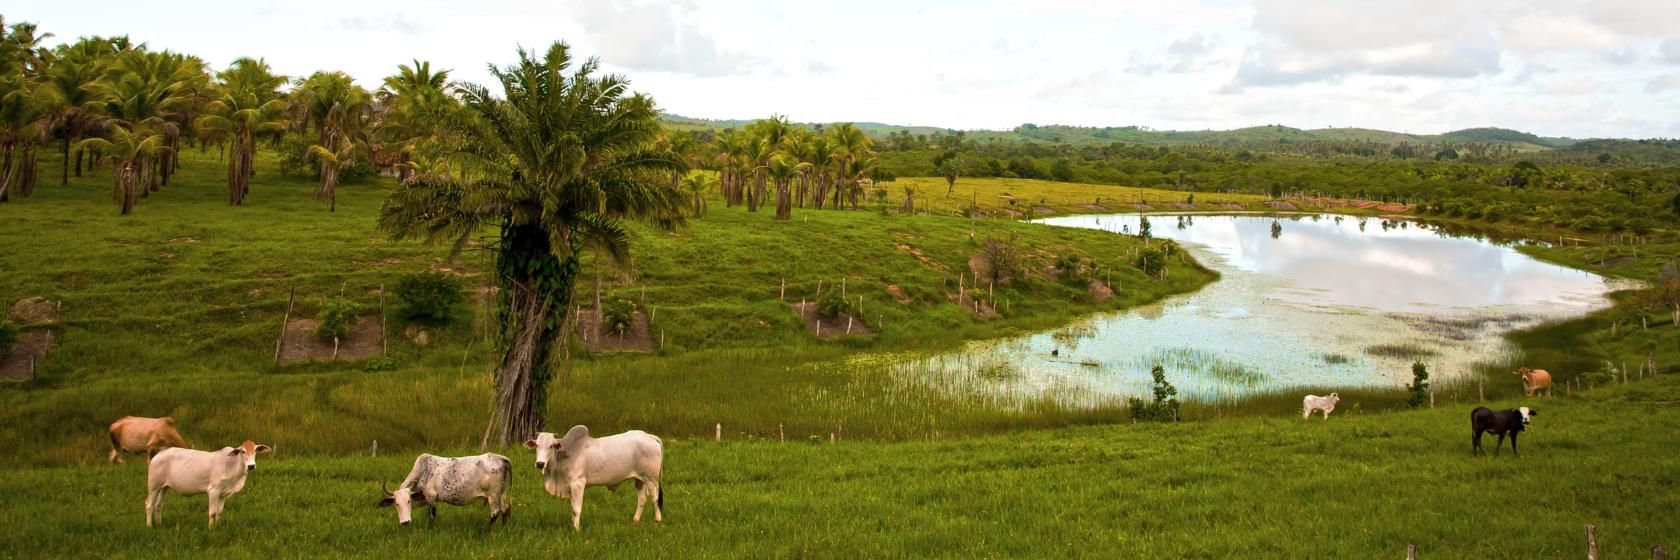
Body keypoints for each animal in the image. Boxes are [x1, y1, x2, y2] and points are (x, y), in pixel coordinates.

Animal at [381, 450, 510, 524]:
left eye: (409, 501)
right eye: (396, 504)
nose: (405, 522)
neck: (421, 472)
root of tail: (501, 458)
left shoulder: (431, 497)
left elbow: (432, 515)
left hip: (493, 496)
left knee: (495, 513)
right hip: (501, 494)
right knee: (505, 509)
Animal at [524, 425, 661, 531]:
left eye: (551, 445)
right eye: (536, 445)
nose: (540, 463)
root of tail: (651, 437)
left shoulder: (578, 484)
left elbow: (576, 509)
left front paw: (577, 529)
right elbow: (572, 508)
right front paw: (573, 525)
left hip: (651, 479)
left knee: (655, 498)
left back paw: (658, 521)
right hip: (640, 479)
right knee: (642, 498)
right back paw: (635, 520)